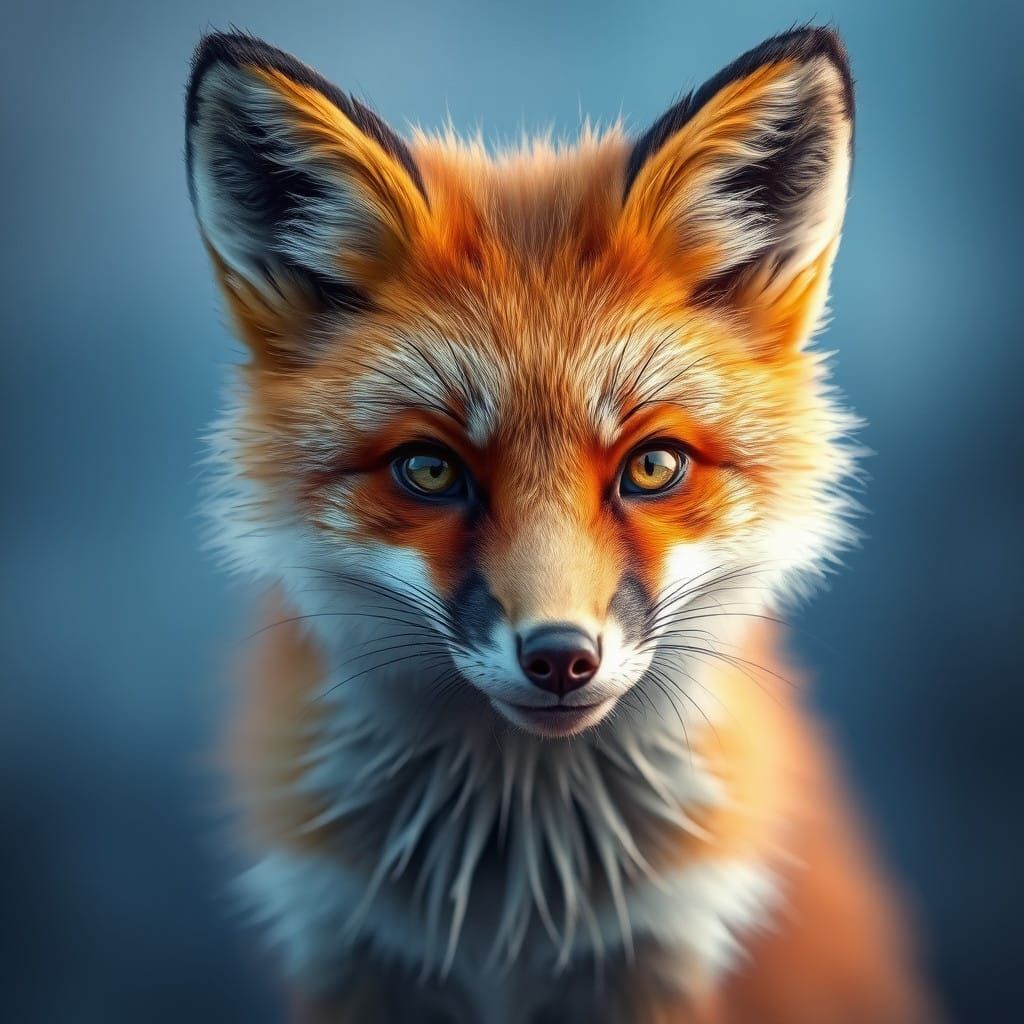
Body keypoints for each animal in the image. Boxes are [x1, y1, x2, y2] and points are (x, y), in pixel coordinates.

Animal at [185, 26, 932, 1024]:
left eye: (653, 466)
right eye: (431, 470)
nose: (561, 658)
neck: (517, 905)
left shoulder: (660, 952)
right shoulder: (352, 949)